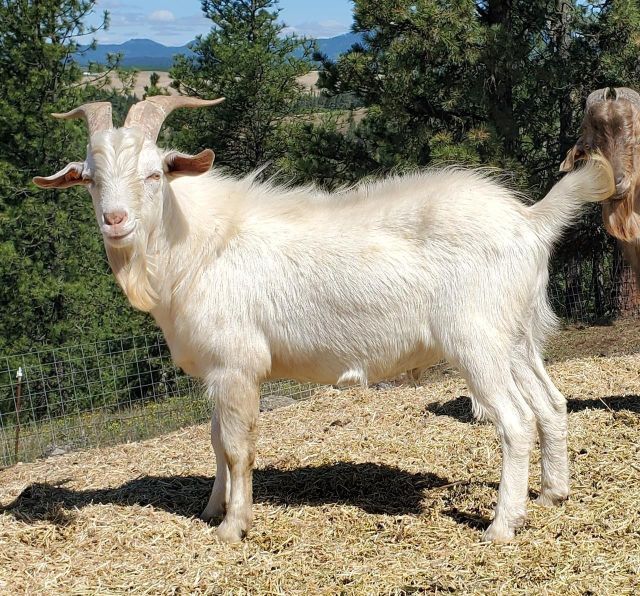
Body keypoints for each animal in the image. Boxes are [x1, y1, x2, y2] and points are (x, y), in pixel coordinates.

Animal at [34, 97, 615, 544]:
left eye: (154, 174)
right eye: (90, 179)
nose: (115, 220)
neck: (199, 244)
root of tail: (530, 221)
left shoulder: (237, 365)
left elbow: (238, 447)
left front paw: (233, 527)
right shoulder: (216, 371)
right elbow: (216, 442)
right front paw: (211, 508)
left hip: (476, 339)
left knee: (515, 421)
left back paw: (502, 525)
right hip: (516, 335)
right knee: (550, 403)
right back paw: (553, 493)